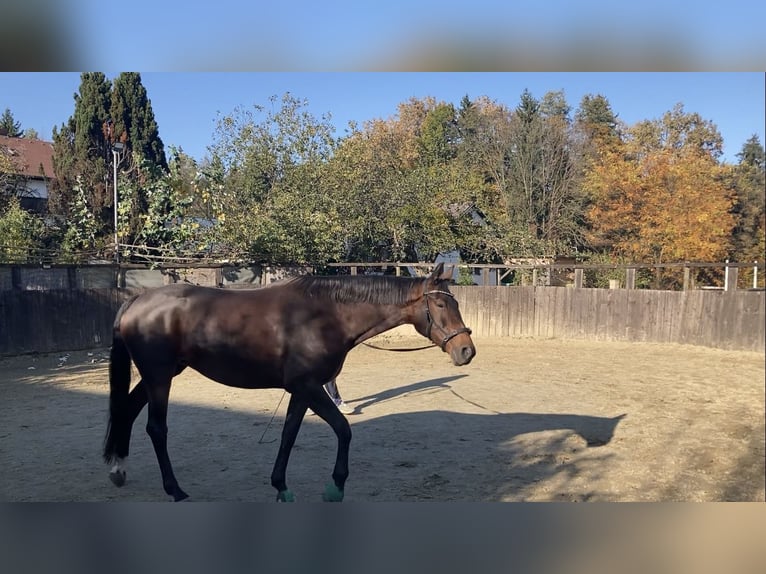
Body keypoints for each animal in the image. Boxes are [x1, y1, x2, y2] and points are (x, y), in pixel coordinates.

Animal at [102, 264, 474, 502]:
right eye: (440, 303)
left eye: (454, 302)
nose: (466, 350)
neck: (326, 314)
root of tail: (137, 300)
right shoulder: (309, 386)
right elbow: (343, 430)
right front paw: (336, 486)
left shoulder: (300, 390)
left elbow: (289, 435)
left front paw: (280, 486)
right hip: (159, 376)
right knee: (156, 428)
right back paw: (175, 490)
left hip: (161, 374)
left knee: (127, 411)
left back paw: (118, 470)